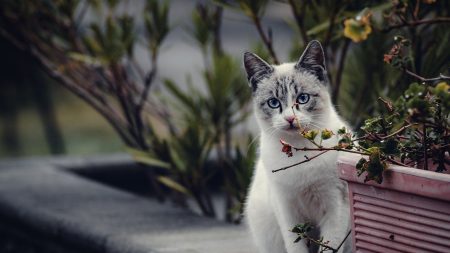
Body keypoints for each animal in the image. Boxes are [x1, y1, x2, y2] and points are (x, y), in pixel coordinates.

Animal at [243, 40, 352, 253]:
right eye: (273, 103)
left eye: (302, 98)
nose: (290, 119)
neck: (300, 151)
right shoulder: (286, 209)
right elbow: (296, 247)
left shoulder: (336, 203)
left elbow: (331, 244)